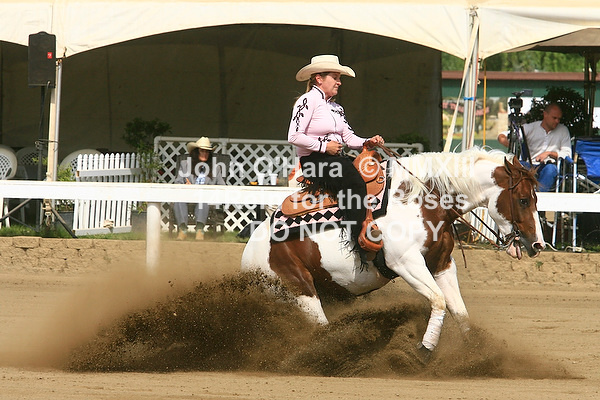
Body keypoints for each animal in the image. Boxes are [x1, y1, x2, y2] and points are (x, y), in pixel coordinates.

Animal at [240, 147, 545, 357]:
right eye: (523, 199)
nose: (537, 245)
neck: (423, 201)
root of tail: (249, 256)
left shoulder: (443, 265)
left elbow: (459, 311)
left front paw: (476, 355)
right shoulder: (406, 263)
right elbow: (438, 301)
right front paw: (425, 350)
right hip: (298, 289)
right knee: (320, 328)